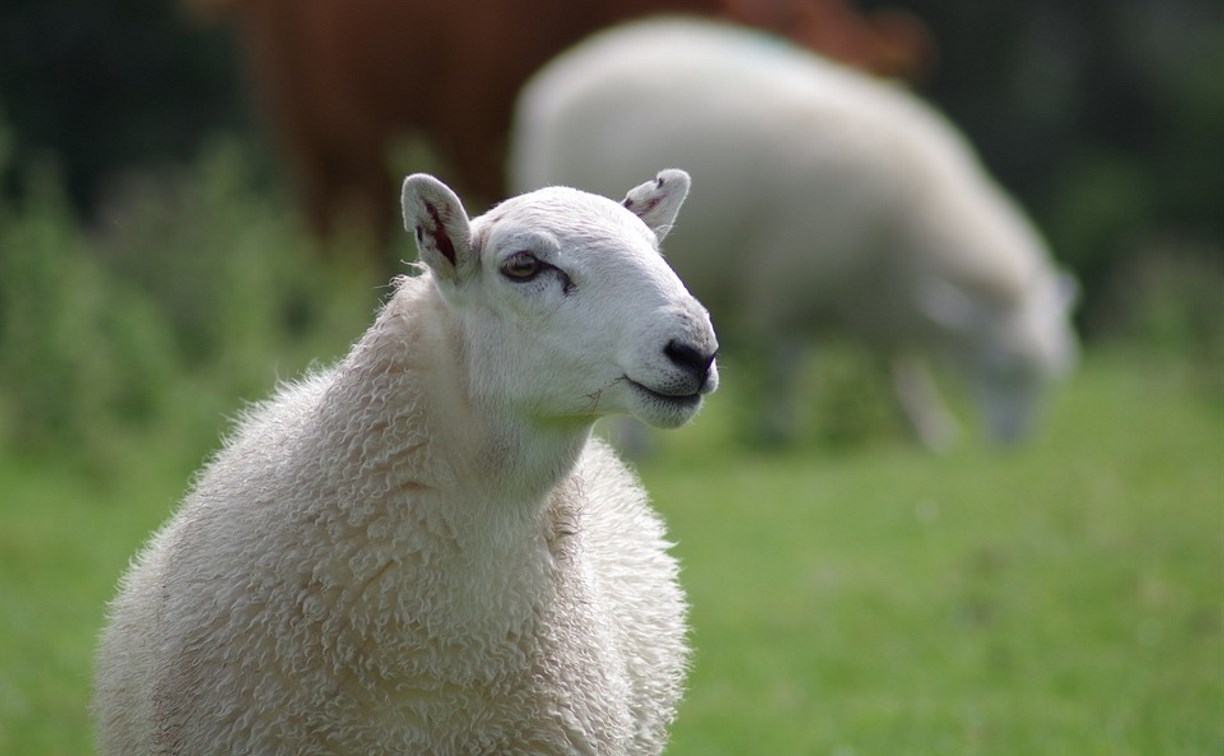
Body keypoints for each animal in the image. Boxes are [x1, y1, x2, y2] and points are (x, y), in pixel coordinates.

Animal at [511, 16, 1077, 447]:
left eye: (1051, 373)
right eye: (998, 369)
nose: (1013, 446)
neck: (913, 217)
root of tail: (569, 72)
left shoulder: (877, 297)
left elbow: (898, 367)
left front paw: (928, 429)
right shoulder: (792, 282)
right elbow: (789, 363)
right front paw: (778, 432)